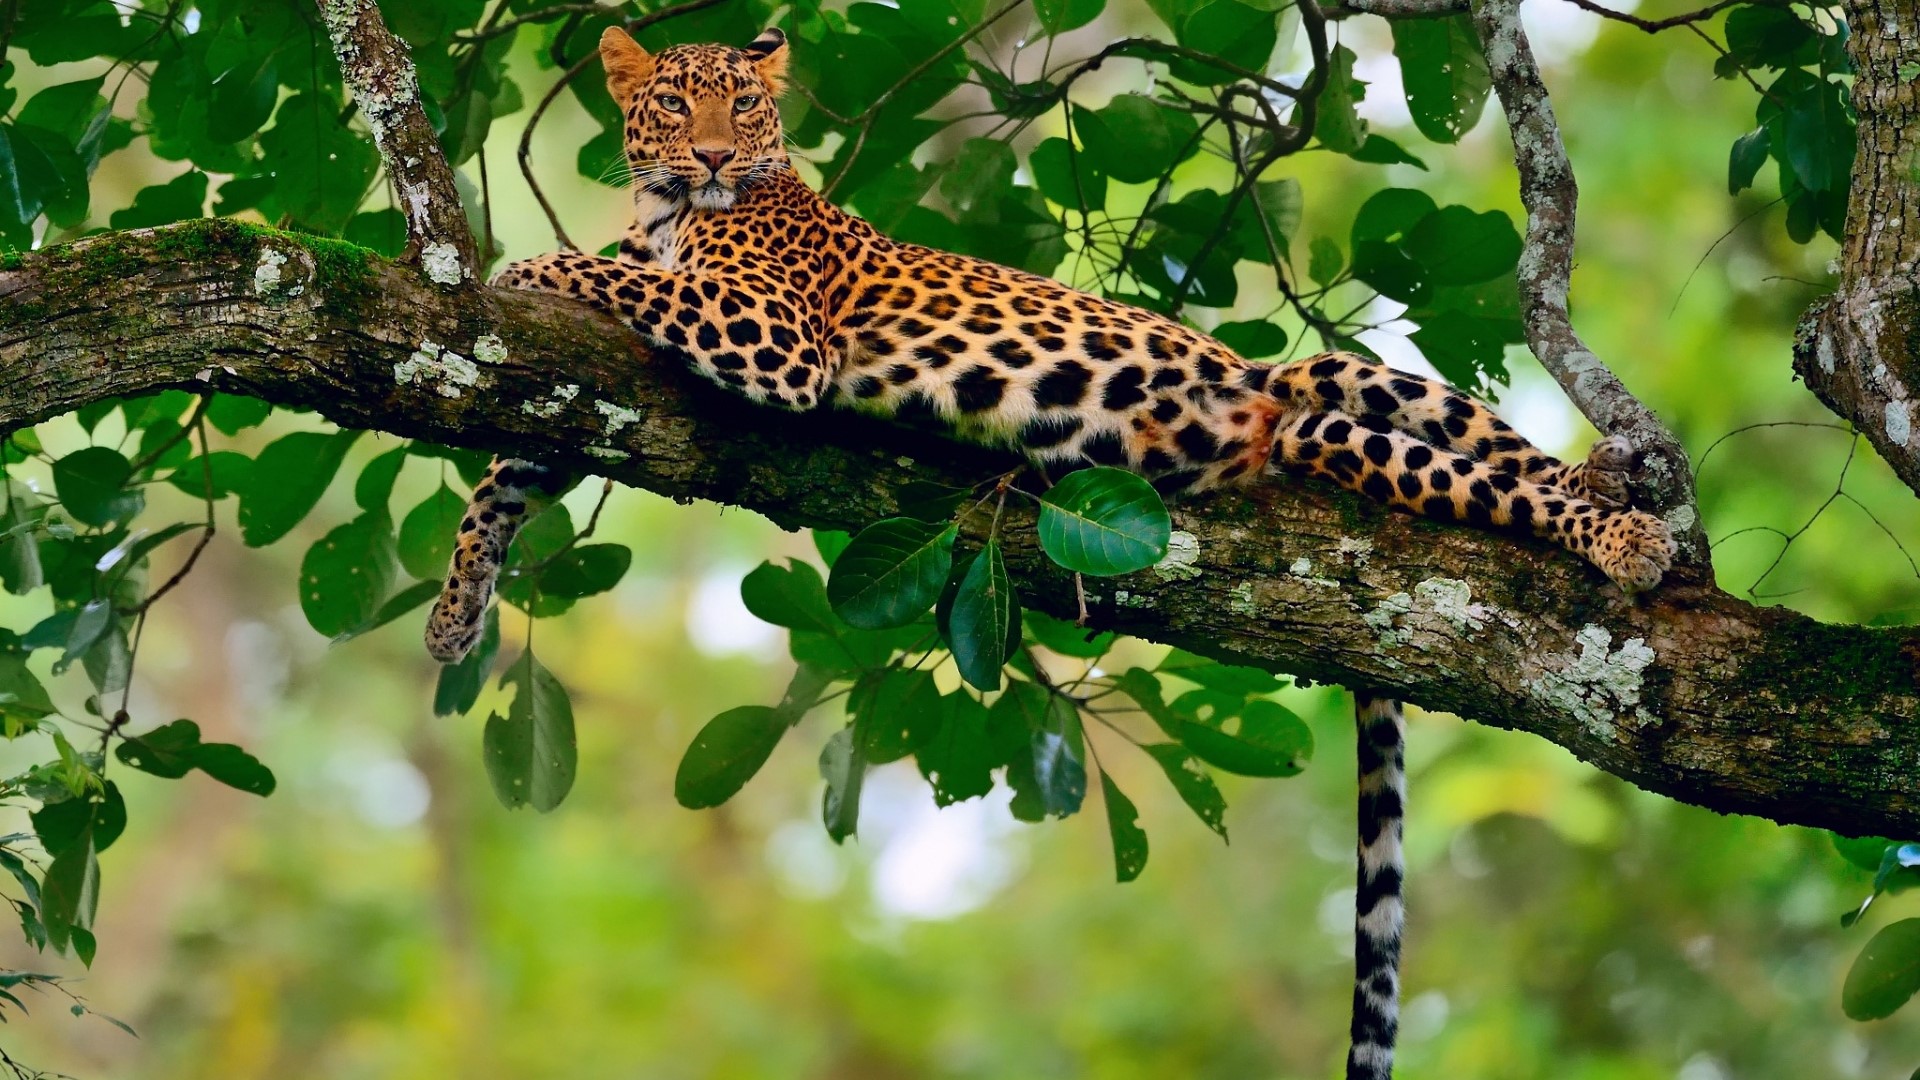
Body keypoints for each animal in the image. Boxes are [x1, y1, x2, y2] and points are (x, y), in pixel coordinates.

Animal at [423, 26, 1673, 1080]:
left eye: (746, 103)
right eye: (676, 103)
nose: (720, 156)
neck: (670, 212)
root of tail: (1257, 407)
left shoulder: (770, 333)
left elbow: (622, 280)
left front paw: (525, 267)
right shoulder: (598, 384)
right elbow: (509, 466)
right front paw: (456, 608)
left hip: (1347, 388)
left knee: (1505, 465)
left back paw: (1629, 522)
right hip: (1322, 424)